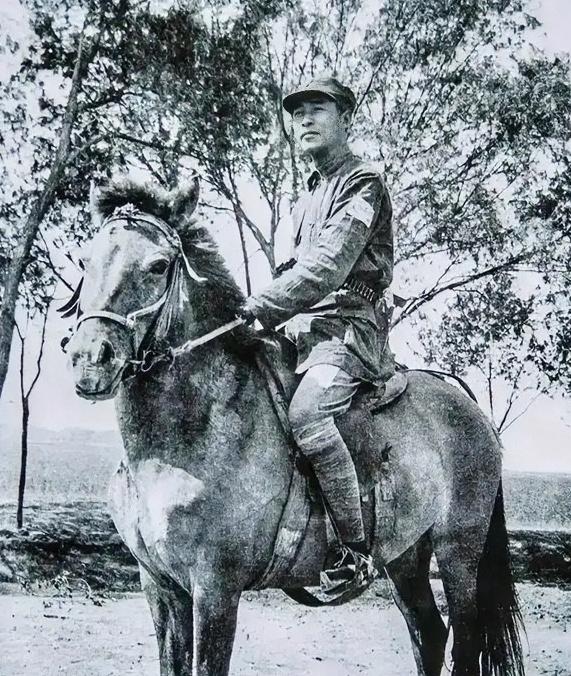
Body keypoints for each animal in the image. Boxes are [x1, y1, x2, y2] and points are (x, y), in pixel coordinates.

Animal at [65, 177, 524, 676]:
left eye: (158, 265)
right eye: (86, 261)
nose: (89, 360)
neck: (183, 438)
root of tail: (469, 407)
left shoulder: (215, 590)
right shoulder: (159, 587)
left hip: (459, 552)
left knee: (464, 642)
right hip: (405, 556)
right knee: (429, 633)